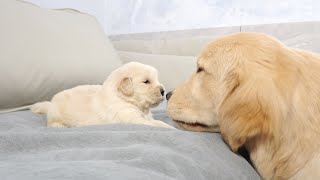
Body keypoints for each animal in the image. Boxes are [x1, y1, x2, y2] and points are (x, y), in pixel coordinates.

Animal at [31, 62, 174, 129]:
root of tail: (50, 104)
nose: (163, 91)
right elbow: (154, 125)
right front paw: (169, 129)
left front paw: (168, 126)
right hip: (56, 115)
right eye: (146, 82)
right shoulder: (132, 119)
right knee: (51, 123)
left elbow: (158, 122)